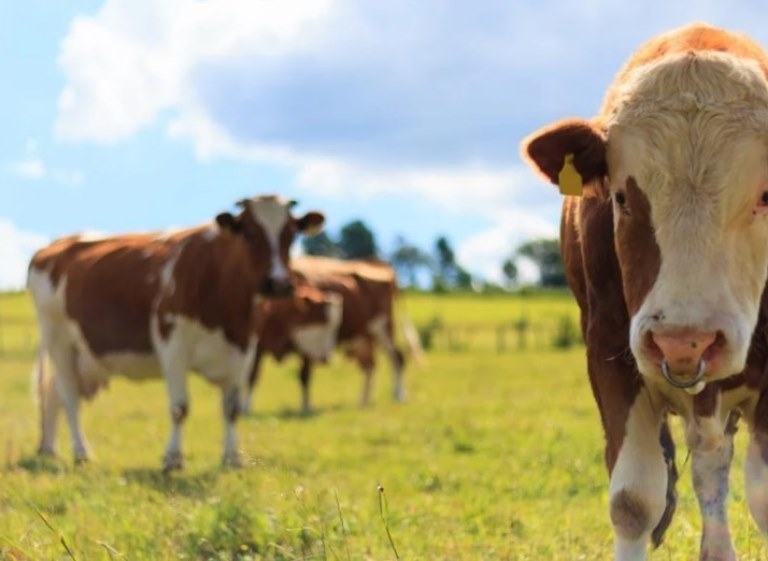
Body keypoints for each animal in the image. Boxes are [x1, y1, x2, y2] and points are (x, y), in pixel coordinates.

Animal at [27, 195, 325, 471]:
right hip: (58, 340)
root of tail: (54, 246)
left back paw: (49, 449)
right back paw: (81, 453)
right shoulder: (172, 344)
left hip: (89, 357)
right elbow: (180, 408)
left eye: (291, 234)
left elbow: (231, 409)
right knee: (69, 397)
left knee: (53, 394)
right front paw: (173, 459)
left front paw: (232, 458)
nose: (279, 283)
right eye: (250, 233)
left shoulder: (244, 348)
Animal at [243, 256, 412, 414]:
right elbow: (252, 376)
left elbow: (304, 376)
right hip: (363, 337)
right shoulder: (258, 343)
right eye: (321, 320)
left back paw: (398, 395)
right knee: (370, 365)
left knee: (397, 357)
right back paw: (364, 401)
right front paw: (247, 408)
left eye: (333, 325)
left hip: (382, 327)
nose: (326, 358)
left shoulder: (305, 348)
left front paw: (306, 407)